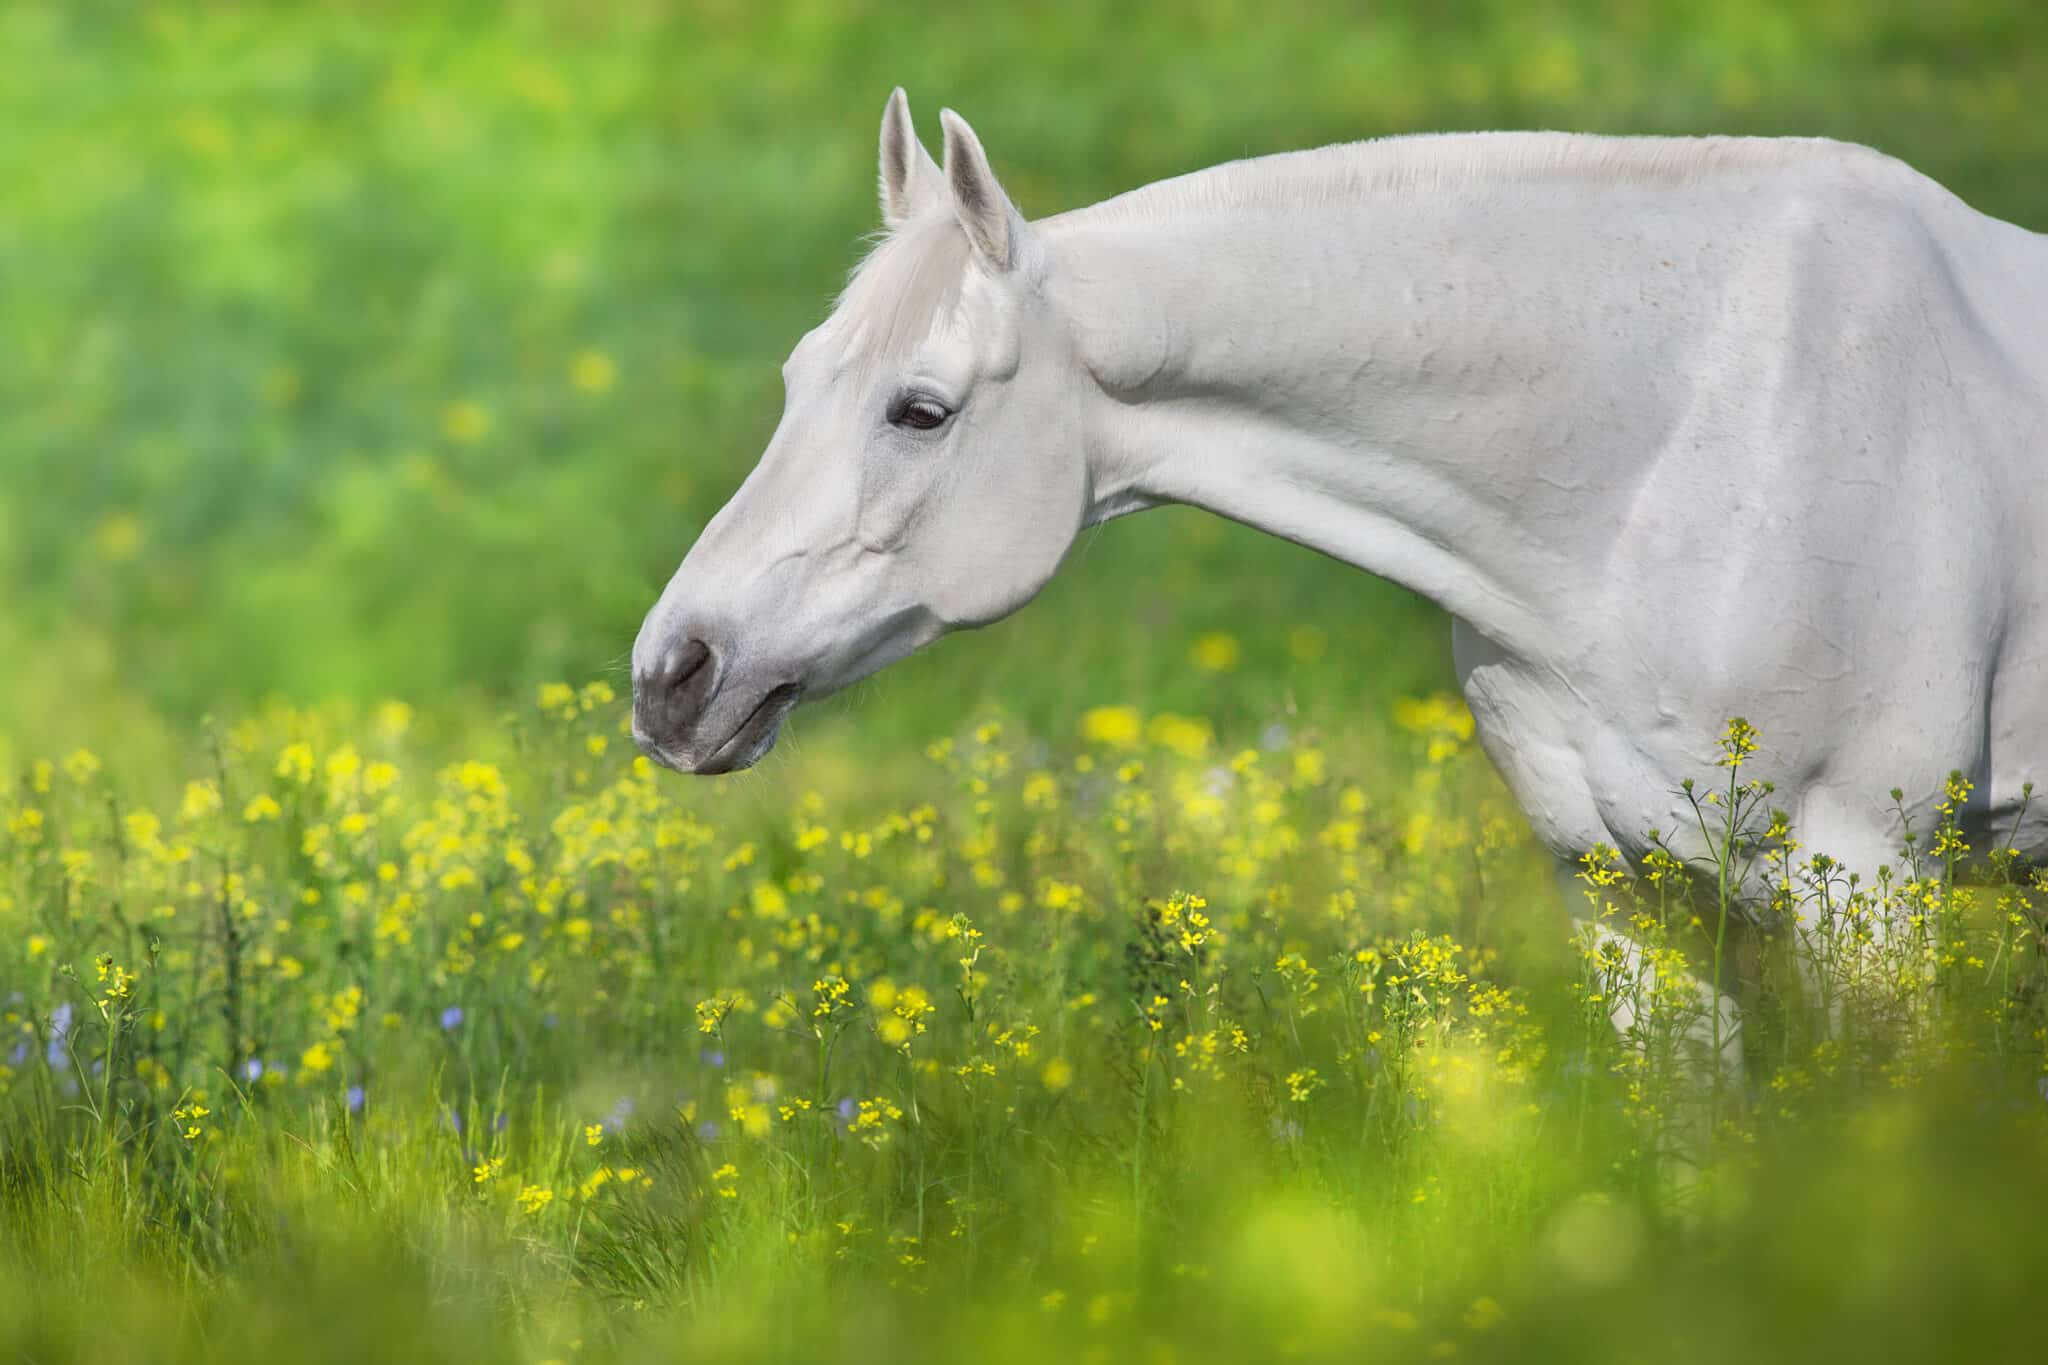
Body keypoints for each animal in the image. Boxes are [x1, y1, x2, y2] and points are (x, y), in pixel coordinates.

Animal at [630, 87, 2039, 1047]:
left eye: (918, 411)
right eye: (796, 379)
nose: (671, 677)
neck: (1693, 436)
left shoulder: (1874, 890)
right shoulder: (1626, 902)